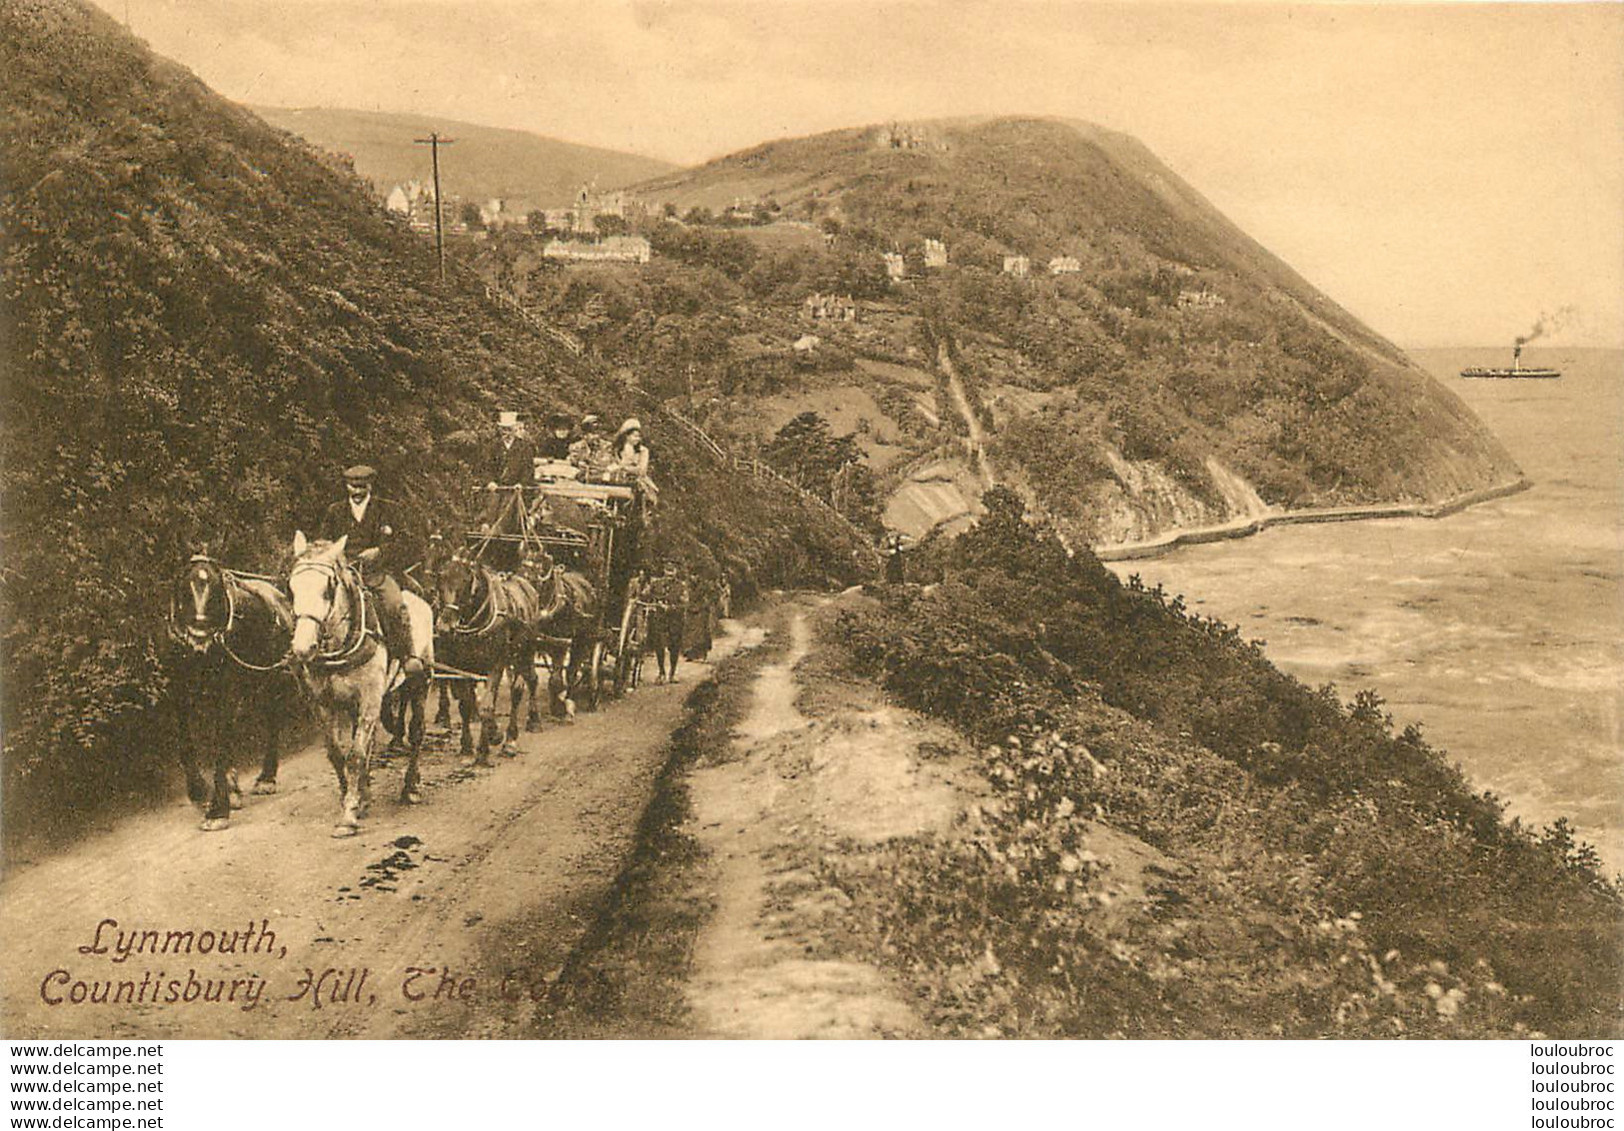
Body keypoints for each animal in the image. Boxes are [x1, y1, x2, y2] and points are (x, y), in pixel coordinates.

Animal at [169, 555, 300, 832]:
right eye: (185, 588)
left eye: (217, 591)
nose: (199, 634)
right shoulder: (180, 691)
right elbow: (186, 740)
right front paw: (200, 792)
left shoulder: (227, 689)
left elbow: (221, 741)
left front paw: (218, 810)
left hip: (270, 680)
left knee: (272, 722)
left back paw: (266, 778)